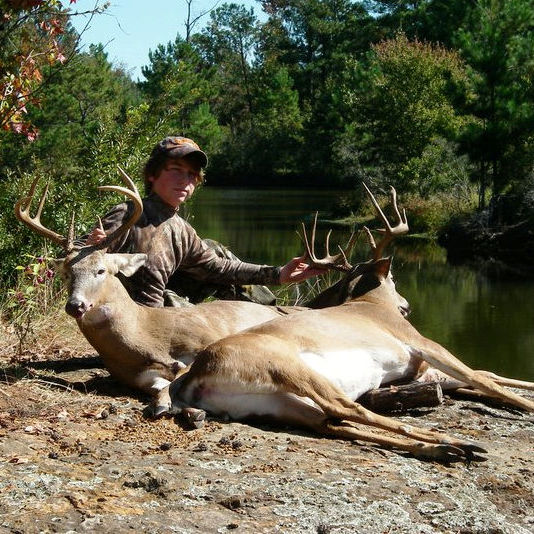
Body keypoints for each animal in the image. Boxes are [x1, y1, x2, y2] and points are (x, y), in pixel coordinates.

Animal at [13, 170, 356, 412]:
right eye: (67, 272)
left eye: (101, 270)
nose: (76, 305)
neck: (145, 335)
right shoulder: (140, 376)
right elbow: (164, 383)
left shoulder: (206, 338)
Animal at [171, 186, 534, 462]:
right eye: (395, 278)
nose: (407, 306)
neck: (372, 304)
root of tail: (196, 376)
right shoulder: (418, 342)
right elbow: (481, 377)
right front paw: (528, 405)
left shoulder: (419, 367)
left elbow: (488, 374)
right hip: (288, 368)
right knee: (349, 409)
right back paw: (454, 442)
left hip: (271, 403)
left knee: (331, 423)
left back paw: (446, 448)